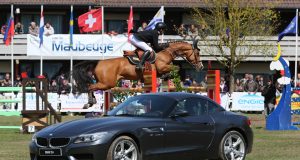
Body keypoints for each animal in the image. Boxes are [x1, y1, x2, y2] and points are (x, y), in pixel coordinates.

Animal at [73, 40, 204, 108]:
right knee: (90, 87)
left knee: (91, 87)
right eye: (197, 53)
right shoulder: (162, 67)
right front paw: (168, 76)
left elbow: (175, 68)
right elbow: (176, 67)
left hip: (106, 83)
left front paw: (167, 78)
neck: (166, 52)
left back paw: (91, 102)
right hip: (107, 83)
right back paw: (89, 103)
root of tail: (98, 62)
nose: (201, 67)